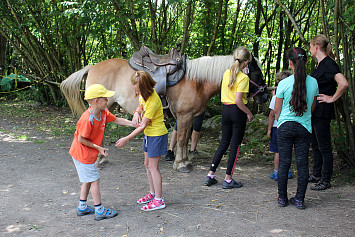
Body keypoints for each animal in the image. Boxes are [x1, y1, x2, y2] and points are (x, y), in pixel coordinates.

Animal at [61, 55, 268, 172]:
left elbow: (185, 139)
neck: (197, 81)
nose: (265, 95)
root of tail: (92, 67)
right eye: (257, 74)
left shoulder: (190, 117)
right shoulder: (184, 116)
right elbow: (183, 139)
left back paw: (102, 158)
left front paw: (185, 160)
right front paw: (181, 164)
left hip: (107, 107)